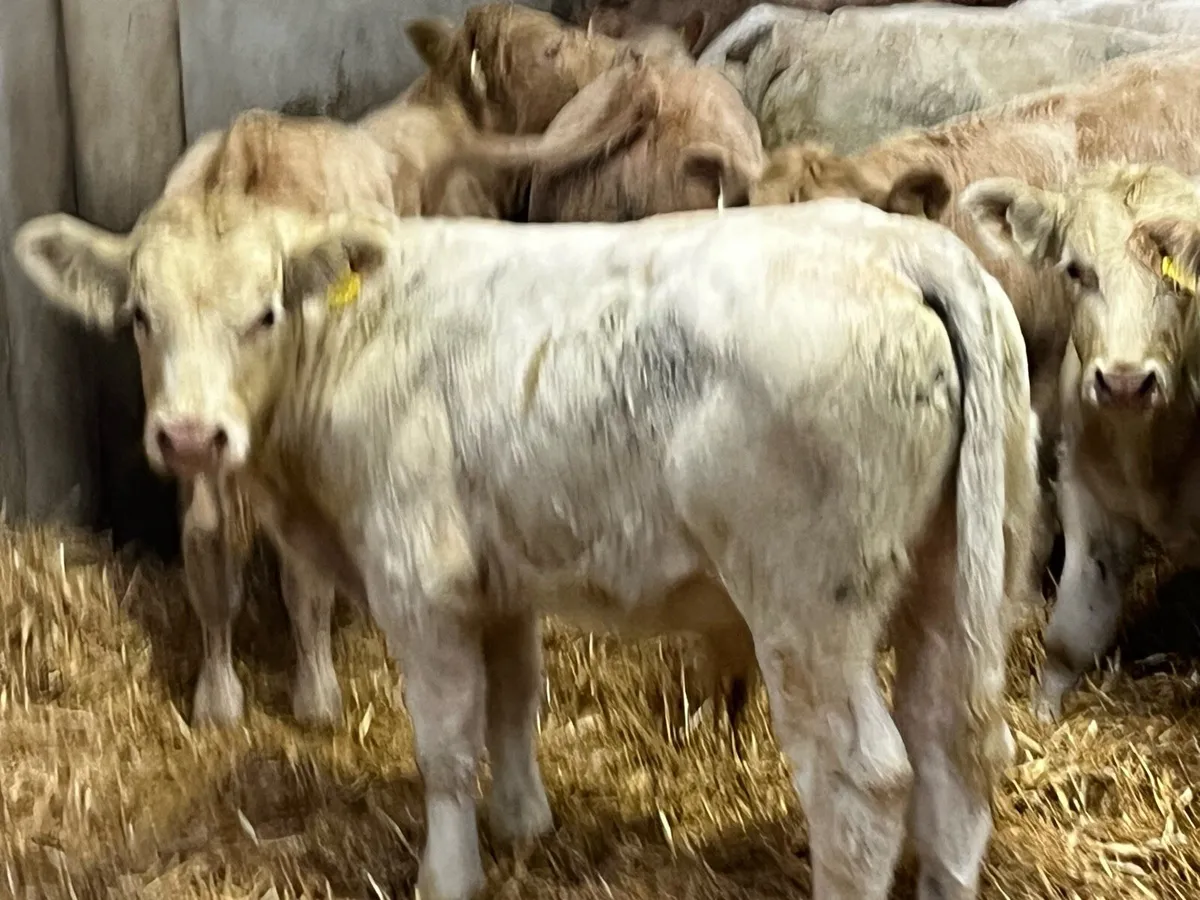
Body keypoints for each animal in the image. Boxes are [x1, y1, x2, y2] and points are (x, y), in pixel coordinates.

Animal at [12, 178, 1037, 899]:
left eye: (263, 312)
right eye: (140, 316)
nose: (190, 437)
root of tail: (904, 247)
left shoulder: (417, 577)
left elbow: (445, 741)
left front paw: (449, 872)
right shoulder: (500, 576)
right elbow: (515, 700)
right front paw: (522, 822)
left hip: (808, 603)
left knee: (866, 778)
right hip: (959, 573)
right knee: (956, 745)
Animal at [959, 162, 1200, 722]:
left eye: (1177, 279)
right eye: (1076, 271)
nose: (1127, 382)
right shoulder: (1089, 498)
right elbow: (1073, 629)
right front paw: (1043, 710)